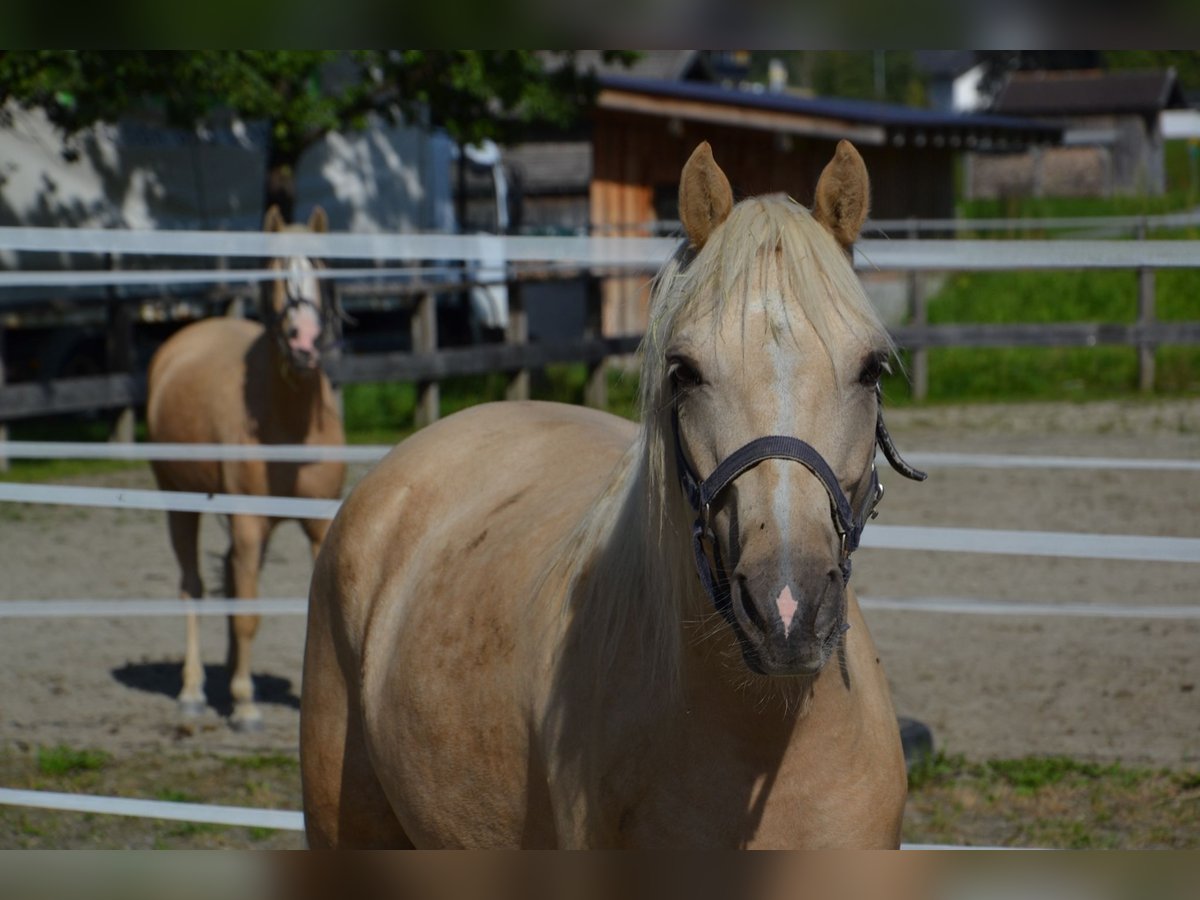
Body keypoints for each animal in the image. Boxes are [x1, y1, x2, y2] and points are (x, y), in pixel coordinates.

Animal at [147, 205, 346, 731]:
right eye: (275, 271)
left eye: (322, 268)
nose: (304, 341)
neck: (289, 423)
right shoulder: (250, 522)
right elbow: (248, 615)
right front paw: (245, 705)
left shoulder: (316, 525)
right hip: (180, 505)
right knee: (193, 588)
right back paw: (194, 691)